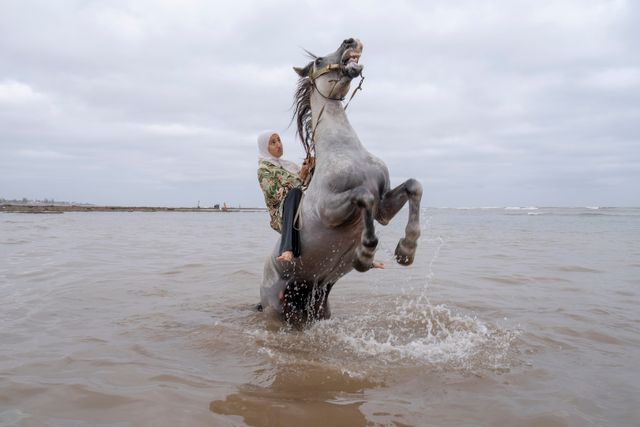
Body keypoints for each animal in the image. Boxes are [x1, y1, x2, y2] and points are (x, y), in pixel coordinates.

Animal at [260, 38, 423, 324]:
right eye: (317, 61)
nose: (350, 41)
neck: (344, 149)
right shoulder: (330, 210)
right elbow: (363, 196)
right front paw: (365, 255)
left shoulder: (383, 209)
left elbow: (414, 186)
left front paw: (406, 250)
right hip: (275, 308)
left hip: (317, 299)